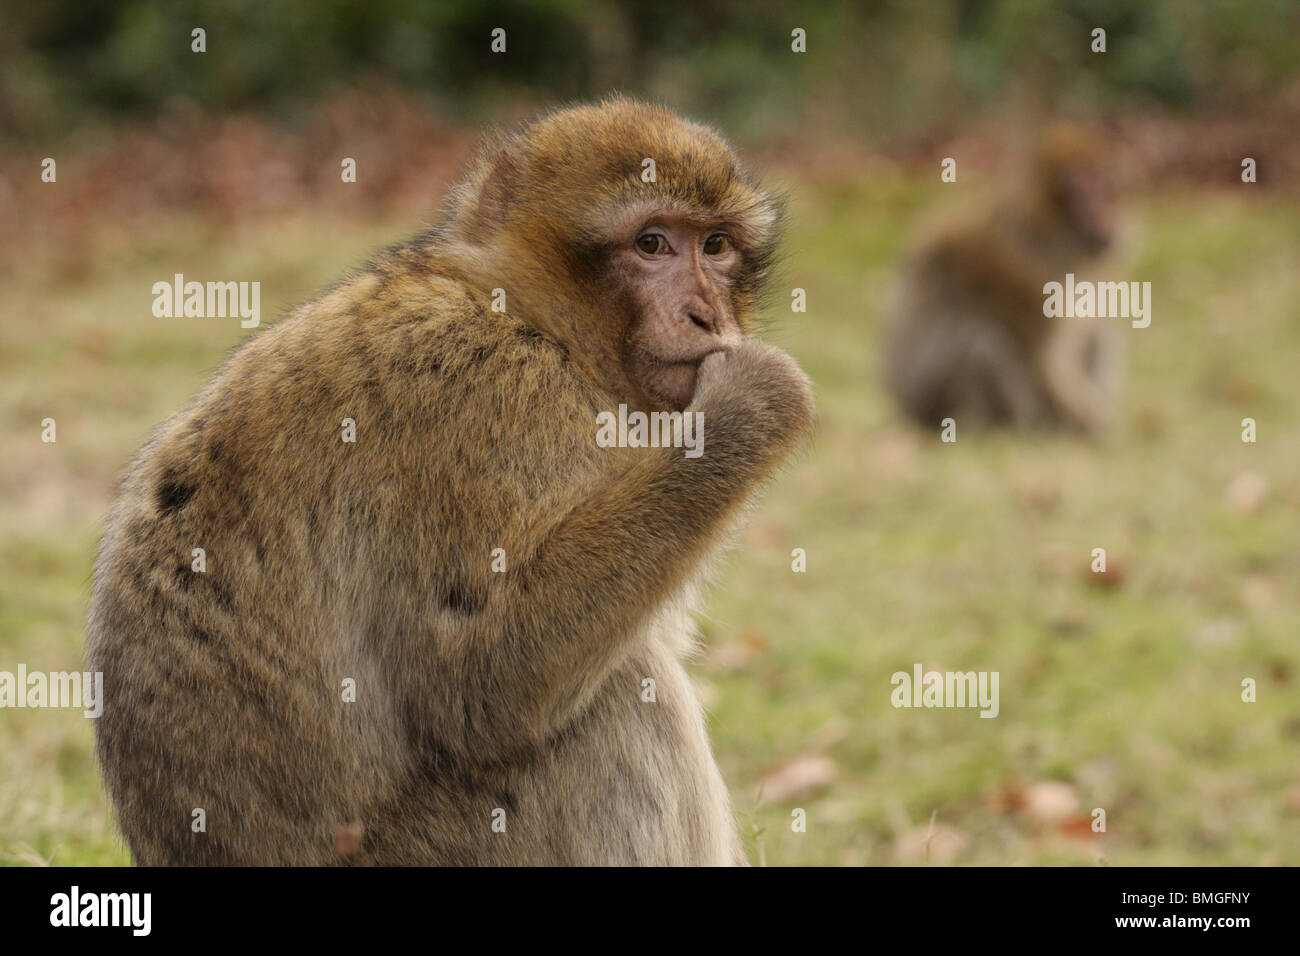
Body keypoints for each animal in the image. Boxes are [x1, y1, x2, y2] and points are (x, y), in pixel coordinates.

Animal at [86, 98, 815, 866]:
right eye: (652, 244)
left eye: (716, 246)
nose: (708, 315)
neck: (522, 313)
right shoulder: (483, 394)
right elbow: (476, 688)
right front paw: (750, 404)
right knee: (622, 700)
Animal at [884, 125, 1123, 433]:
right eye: (1085, 193)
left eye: (1107, 190)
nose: (1109, 217)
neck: (1049, 225)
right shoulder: (1034, 270)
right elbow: (1044, 358)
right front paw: (1091, 423)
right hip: (937, 406)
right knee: (982, 346)